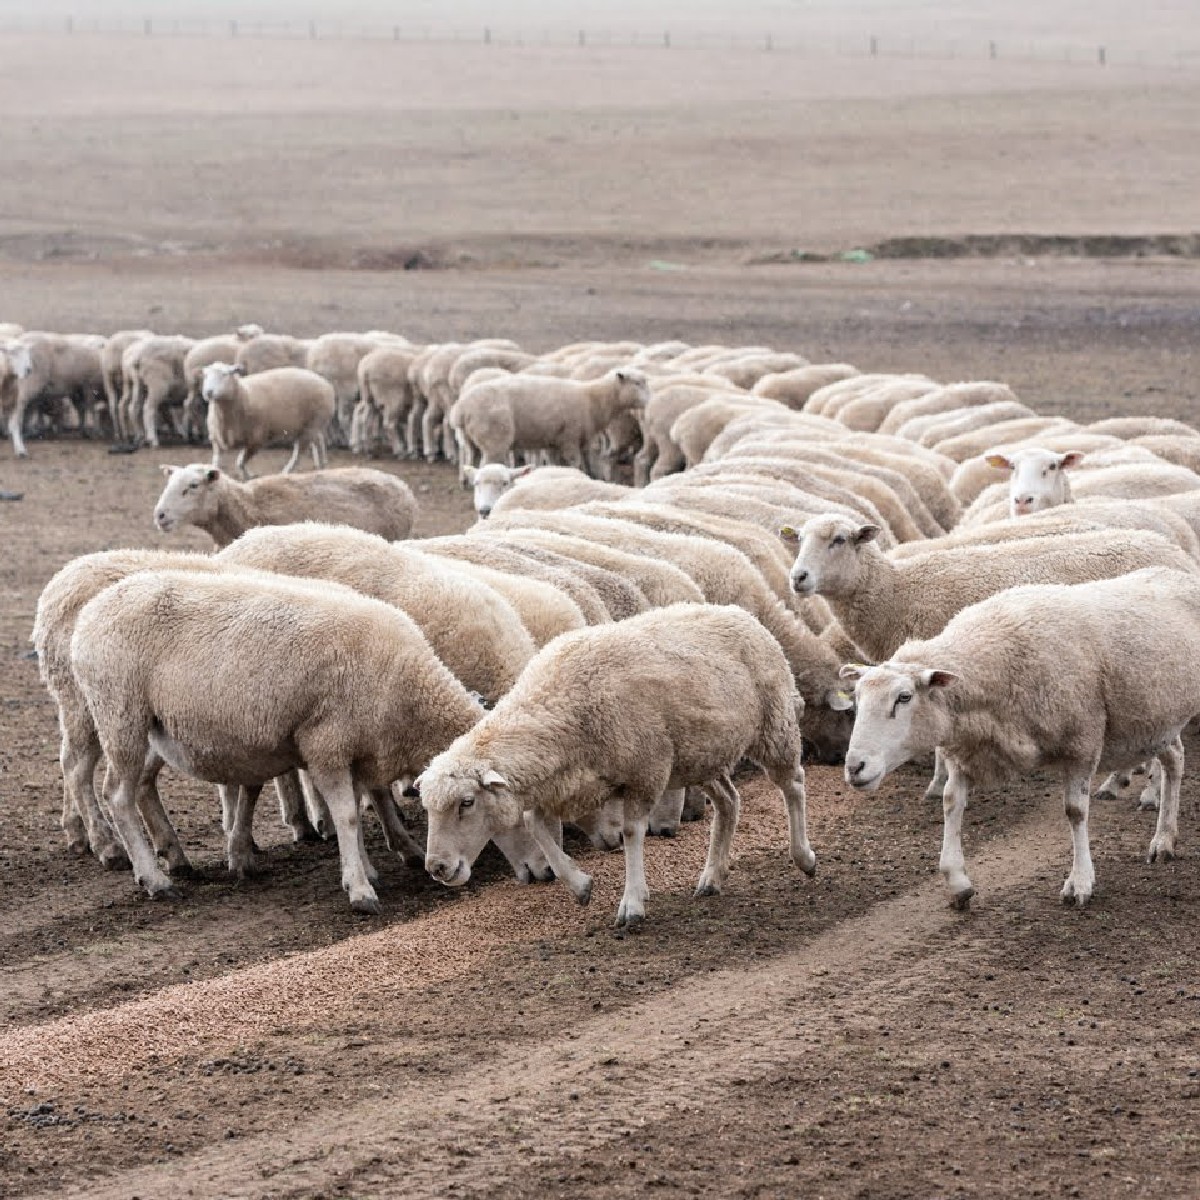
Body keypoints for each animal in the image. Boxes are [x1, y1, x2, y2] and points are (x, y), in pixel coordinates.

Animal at [70, 569, 493, 912]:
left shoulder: (355, 751)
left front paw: (365, 870)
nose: (444, 870)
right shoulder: (326, 743)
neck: (409, 693)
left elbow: (356, 810)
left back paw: (175, 859)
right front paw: (360, 890)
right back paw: (154, 879)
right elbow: (347, 815)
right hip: (120, 712)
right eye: (467, 802)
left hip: (153, 727)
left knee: (141, 785)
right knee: (117, 796)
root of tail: (91, 611)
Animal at [202, 362, 335, 477]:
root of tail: (326, 383)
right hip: (310, 426)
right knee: (318, 441)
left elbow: (240, 463)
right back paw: (321, 465)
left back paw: (286, 472)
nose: (208, 392)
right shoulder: (216, 440)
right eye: (206, 375)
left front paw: (248, 477)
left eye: (224, 374)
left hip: (310, 427)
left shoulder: (256, 441)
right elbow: (216, 463)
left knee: (299, 454)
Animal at [420, 604, 817, 926]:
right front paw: (580, 886)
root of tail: (741, 613)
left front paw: (632, 903)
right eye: (428, 809)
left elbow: (630, 832)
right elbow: (535, 824)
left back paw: (804, 857)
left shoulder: (644, 770)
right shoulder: (572, 785)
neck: (558, 704)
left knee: (793, 784)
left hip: (773, 724)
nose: (436, 867)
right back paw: (712, 876)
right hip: (699, 755)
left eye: (466, 803)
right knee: (728, 802)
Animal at [455, 368, 651, 474]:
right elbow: (575, 464)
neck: (592, 398)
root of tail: (461, 409)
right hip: (494, 440)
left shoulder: (556, 442)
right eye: (637, 383)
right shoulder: (570, 439)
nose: (649, 402)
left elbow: (561, 464)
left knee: (472, 463)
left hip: (472, 442)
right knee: (487, 466)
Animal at [841, 567, 1200, 908]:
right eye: (856, 698)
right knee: (1175, 759)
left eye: (903, 697)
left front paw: (1080, 881)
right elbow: (951, 802)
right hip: (1154, 722)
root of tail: (1179, 574)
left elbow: (1075, 811)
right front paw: (957, 881)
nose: (854, 767)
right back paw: (1164, 840)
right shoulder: (966, 749)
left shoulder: (1081, 741)